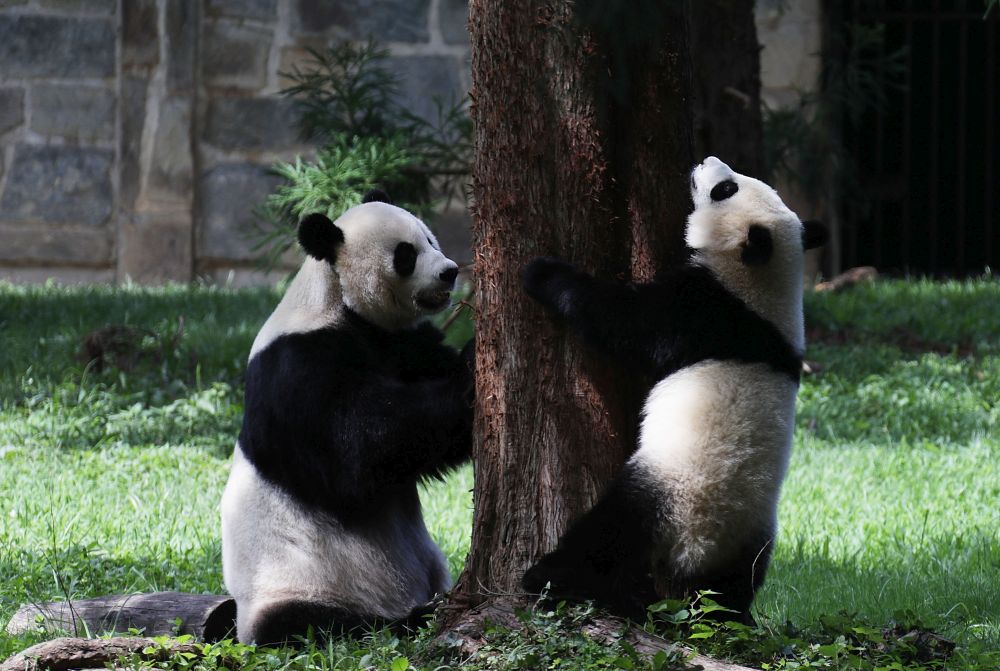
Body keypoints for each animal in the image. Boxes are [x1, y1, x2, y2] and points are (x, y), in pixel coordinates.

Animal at [225, 190, 474, 644]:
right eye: (406, 254)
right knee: (311, 624)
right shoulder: (298, 367)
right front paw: (473, 369)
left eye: (431, 238)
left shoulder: (403, 344)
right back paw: (410, 618)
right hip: (299, 585)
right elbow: (360, 450)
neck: (335, 301)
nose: (449, 272)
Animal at [520, 155, 824, 624]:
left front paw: (542, 273)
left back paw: (548, 577)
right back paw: (730, 617)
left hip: (666, 488)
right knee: (737, 585)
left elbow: (622, 322)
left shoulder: (702, 311)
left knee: (609, 532)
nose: (706, 161)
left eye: (725, 190)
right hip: (752, 538)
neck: (763, 291)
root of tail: (696, 549)